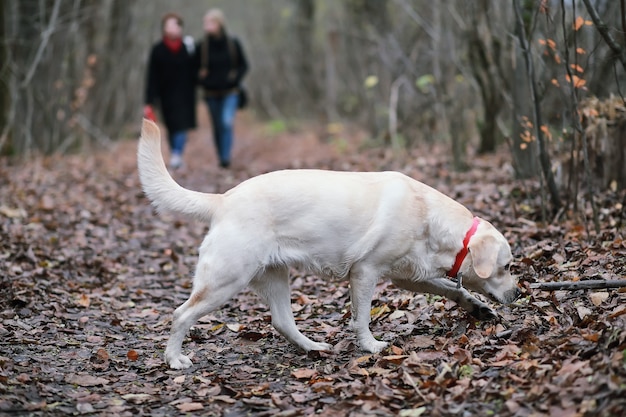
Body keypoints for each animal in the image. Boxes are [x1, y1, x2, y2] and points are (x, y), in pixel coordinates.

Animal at [136, 119, 516, 368]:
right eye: (507, 266)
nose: (517, 294)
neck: (429, 218)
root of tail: (223, 199)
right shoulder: (366, 272)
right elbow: (361, 318)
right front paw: (371, 347)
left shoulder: (407, 276)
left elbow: (452, 289)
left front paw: (478, 307)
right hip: (225, 280)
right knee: (181, 313)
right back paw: (174, 359)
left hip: (274, 276)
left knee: (282, 322)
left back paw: (313, 347)